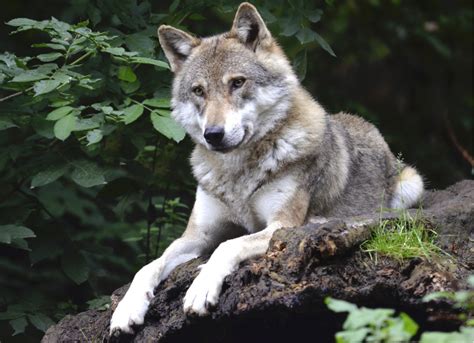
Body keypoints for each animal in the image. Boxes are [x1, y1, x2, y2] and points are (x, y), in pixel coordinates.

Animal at [109, 2, 424, 336]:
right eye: (198, 91)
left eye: (237, 82)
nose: (213, 134)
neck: (237, 174)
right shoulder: (196, 235)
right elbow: (148, 266)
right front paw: (127, 309)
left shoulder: (279, 225)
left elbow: (228, 246)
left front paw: (200, 288)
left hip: (411, 185)